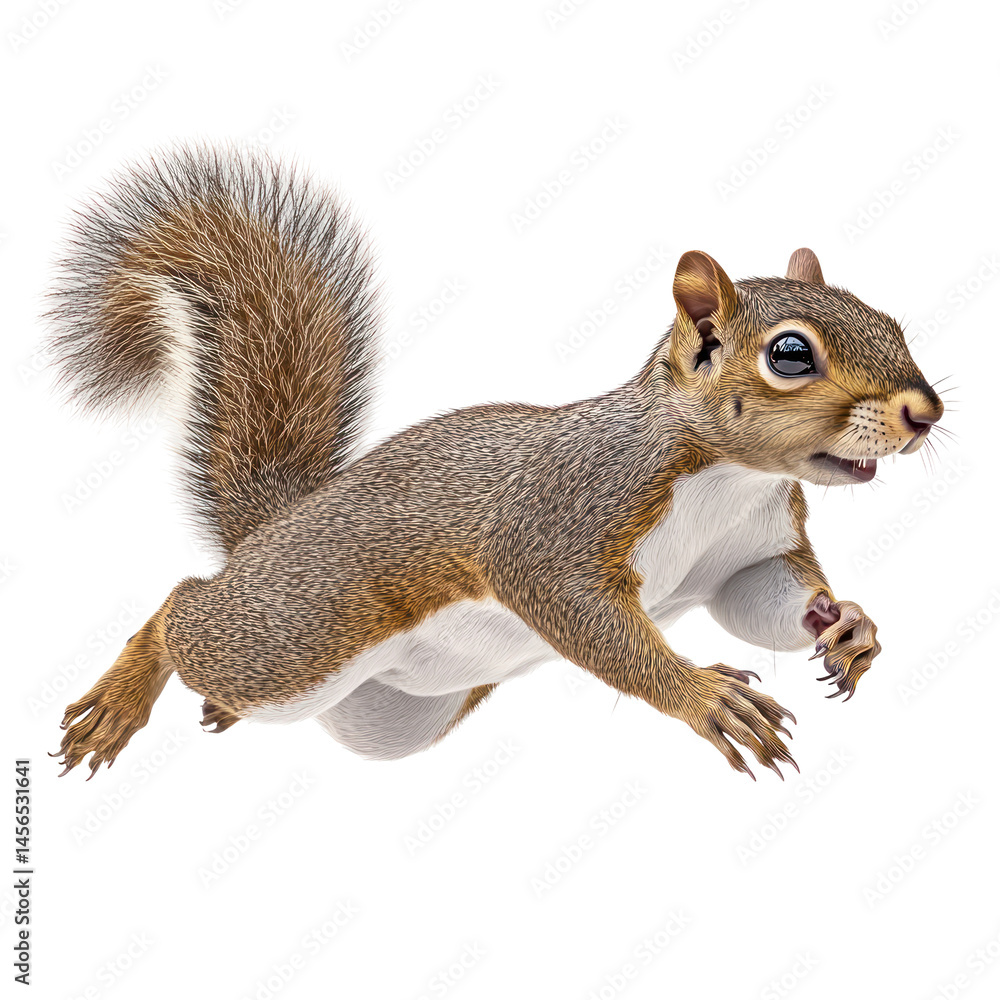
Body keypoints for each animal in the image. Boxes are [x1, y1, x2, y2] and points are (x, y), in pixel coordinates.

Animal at [48, 144, 943, 780]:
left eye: (891, 322)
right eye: (790, 354)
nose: (925, 413)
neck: (728, 478)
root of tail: (276, 527)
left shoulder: (750, 552)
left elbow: (765, 599)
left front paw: (849, 623)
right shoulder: (563, 514)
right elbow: (574, 606)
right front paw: (701, 695)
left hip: (385, 717)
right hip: (293, 636)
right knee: (181, 612)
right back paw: (122, 695)